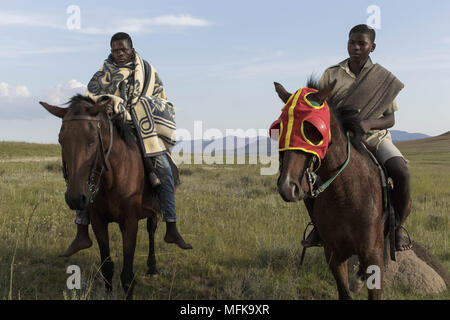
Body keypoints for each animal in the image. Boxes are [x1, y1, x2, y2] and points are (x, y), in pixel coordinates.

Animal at [40, 95, 160, 300]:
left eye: (92, 141)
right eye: (61, 140)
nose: (75, 198)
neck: (112, 180)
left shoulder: (130, 223)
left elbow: (127, 277)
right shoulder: (98, 222)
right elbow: (107, 267)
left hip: (155, 211)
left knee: (152, 231)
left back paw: (152, 267)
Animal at [272, 80, 384, 300]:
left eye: (311, 129)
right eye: (279, 128)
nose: (287, 186)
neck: (346, 196)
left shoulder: (373, 256)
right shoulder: (333, 254)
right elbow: (344, 293)